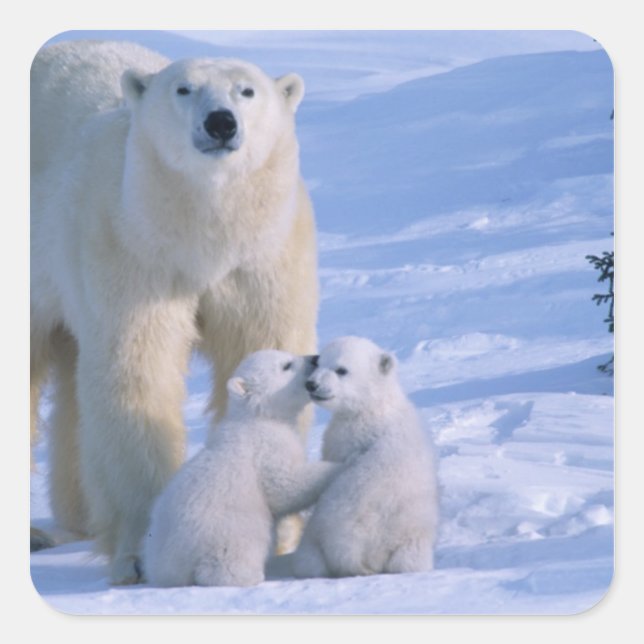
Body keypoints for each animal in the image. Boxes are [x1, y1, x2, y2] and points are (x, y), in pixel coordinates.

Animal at [30, 39, 318, 584]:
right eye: (184, 89)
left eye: (247, 90)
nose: (221, 123)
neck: (200, 235)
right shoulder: (131, 249)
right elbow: (138, 372)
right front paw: (141, 551)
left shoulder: (263, 257)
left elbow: (263, 348)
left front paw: (281, 535)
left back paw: (77, 518)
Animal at [144, 350, 340, 587]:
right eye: (286, 365)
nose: (315, 358)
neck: (256, 417)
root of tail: (171, 563)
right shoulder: (266, 446)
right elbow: (284, 486)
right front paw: (338, 466)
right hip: (227, 528)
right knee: (230, 556)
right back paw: (250, 575)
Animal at [290, 336, 439, 578]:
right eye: (320, 362)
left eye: (341, 369)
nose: (311, 384)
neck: (373, 407)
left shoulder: (347, 438)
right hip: (413, 542)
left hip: (324, 528)